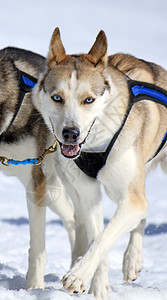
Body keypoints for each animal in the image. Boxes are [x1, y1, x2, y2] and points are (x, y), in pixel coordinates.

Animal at [34, 27, 167, 298]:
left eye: (89, 100)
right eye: (57, 97)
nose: (70, 133)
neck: (96, 143)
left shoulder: (131, 198)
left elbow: (103, 238)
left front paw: (78, 275)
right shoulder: (88, 193)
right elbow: (97, 237)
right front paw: (95, 286)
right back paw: (131, 260)